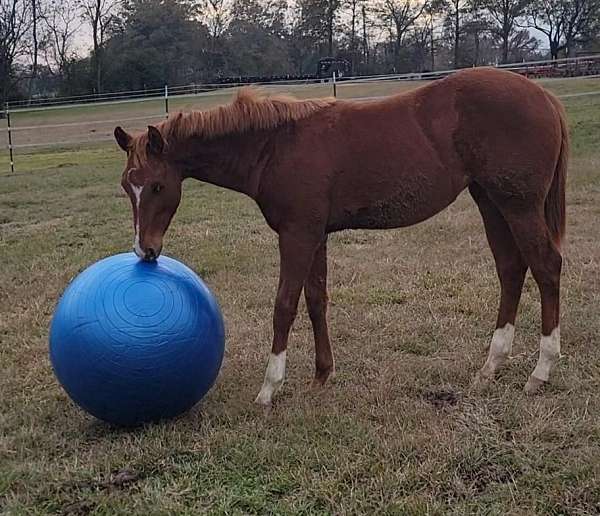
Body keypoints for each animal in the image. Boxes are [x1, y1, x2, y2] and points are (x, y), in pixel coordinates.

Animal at [115, 67, 568, 404]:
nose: (146, 250)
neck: (274, 146)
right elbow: (317, 301)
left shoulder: (296, 235)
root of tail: (543, 96)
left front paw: (269, 388)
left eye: (157, 186)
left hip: (518, 205)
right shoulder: (316, 234)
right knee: (511, 269)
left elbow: (284, 305)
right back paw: (491, 367)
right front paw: (322, 375)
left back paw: (540, 371)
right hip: (490, 201)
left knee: (546, 267)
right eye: (126, 186)